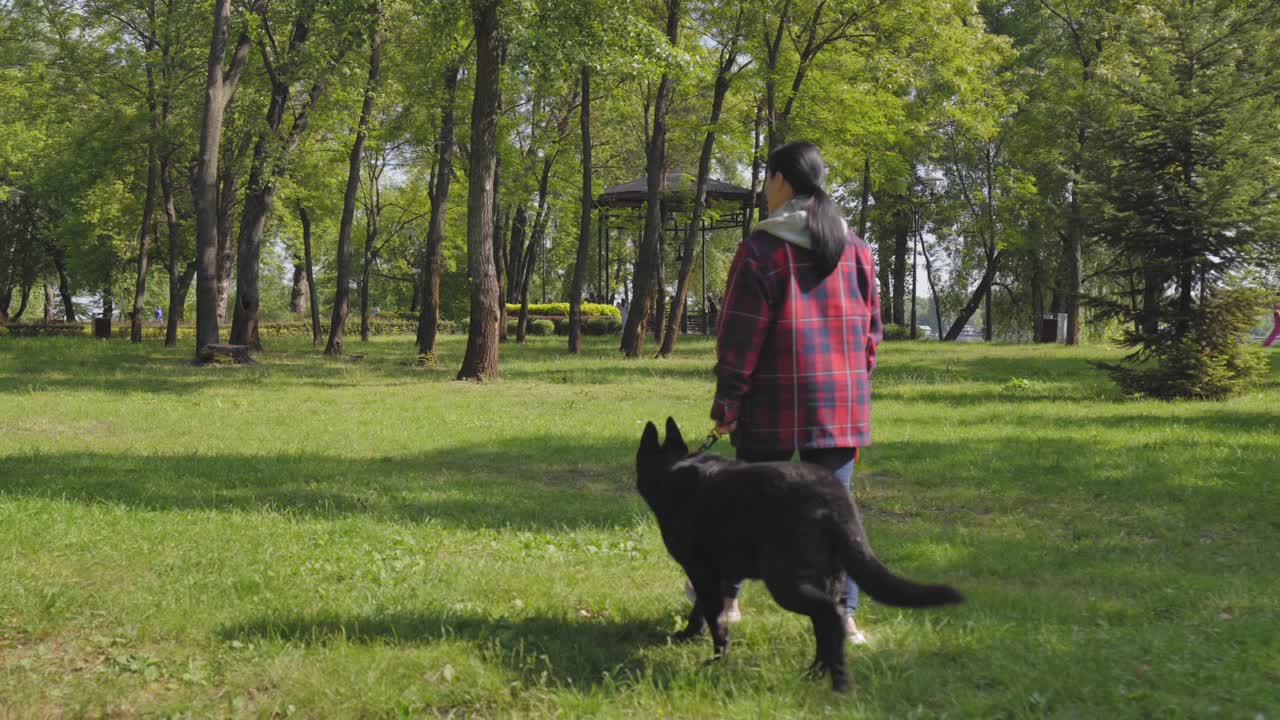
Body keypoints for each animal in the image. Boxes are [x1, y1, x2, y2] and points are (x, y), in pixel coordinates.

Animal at [634, 417, 962, 686]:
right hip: (830, 578)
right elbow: (703, 610)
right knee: (829, 623)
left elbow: (716, 619)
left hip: (785, 582)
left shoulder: (702, 572)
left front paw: (717, 658)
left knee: (830, 616)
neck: (671, 470)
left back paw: (837, 679)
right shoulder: (716, 574)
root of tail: (833, 497)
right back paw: (818, 671)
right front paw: (690, 635)